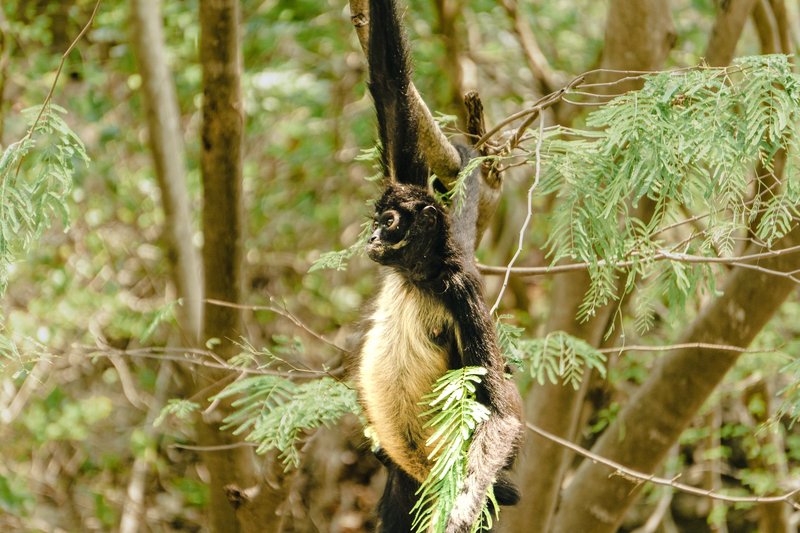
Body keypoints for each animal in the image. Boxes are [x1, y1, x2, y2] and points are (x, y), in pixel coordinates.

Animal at [355, 1, 524, 531]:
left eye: (388, 223)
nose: (371, 239)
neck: (420, 276)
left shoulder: (461, 287)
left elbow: (501, 413)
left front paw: (458, 514)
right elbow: (391, 85)